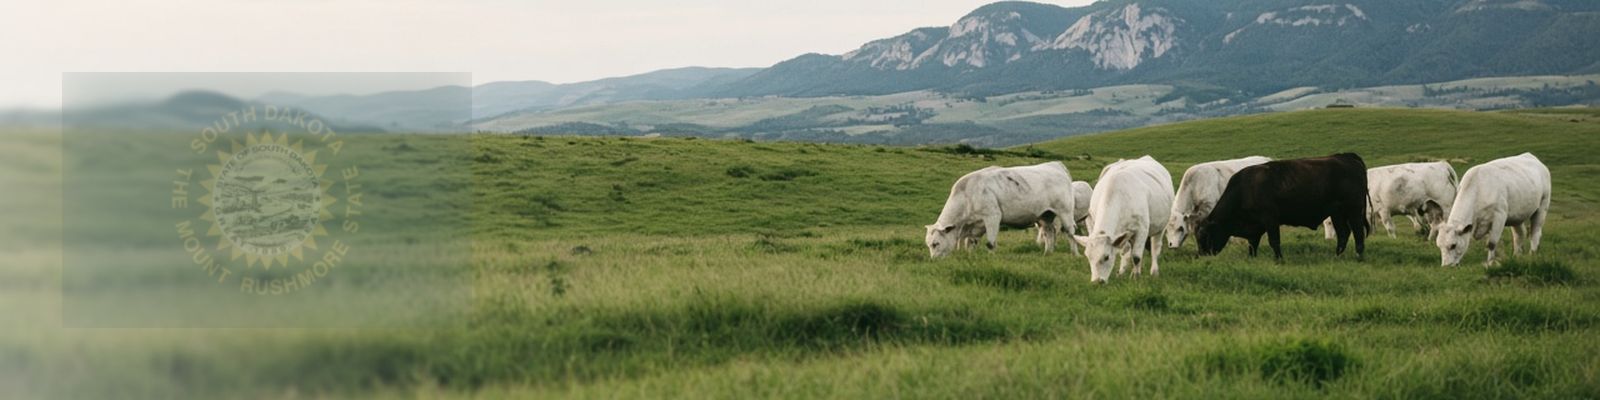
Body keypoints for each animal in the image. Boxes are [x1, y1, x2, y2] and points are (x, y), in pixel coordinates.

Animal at [926, 162, 1077, 258]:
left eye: (935, 243)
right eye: (928, 244)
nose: (934, 260)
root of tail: (1055, 165)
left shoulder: (992, 216)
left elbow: (990, 243)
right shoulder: (976, 225)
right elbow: (970, 243)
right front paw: (970, 257)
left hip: (1065, 211)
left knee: (1070, 232)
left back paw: (1075, 254)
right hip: (1045, 215)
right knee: (1049, 232)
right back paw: (1048, 253)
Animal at [1195, 153, 1369, 260]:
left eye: (1204, 236)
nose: (1201, 256)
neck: (1245, 188)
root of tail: (1346, 156)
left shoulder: (1270, 218)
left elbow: (1274, 241)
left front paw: (1279, 259)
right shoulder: (1255, 227)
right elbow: (1252, 244)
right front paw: (1252, 258)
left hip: (1353, 210)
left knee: (1358, 233)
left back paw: (1359, 257)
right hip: (1337, 213)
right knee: (1343, 234)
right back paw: (1337, 256)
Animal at [1321, 161, 1459, 240]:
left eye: (1329, 223)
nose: (1328, 239)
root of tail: (1442, 164)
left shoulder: (1384, 210)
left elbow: (1390, 228)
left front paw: (1393, 240)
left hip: (1445, 205)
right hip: (1433, 207)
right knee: (1435, 225)